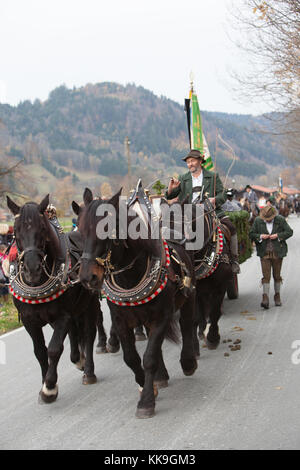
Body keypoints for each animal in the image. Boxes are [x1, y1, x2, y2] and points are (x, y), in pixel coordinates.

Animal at [6, 195, 99, 404]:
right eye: (15, 231)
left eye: (42, 228)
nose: (31, 269)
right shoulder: (30, 320)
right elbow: (40, 351)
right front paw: (44, 383)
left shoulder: (62, 316)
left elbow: (54, 349)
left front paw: (49, 388)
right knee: (74, 332)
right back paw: (78, 358)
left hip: (89, 304)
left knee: (89, 333)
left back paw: (88, 370)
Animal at [78, 187, 198, 418]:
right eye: (80, 230)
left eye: (107, 229)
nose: (88, 277)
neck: (131, 277)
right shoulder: (121, 321)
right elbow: (131, 358)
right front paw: (146, 386)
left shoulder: (161, 316)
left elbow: (149, 356)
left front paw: (146, 401)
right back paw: (160, 377)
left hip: (188, 297)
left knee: (187, 325)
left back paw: (188, 361)